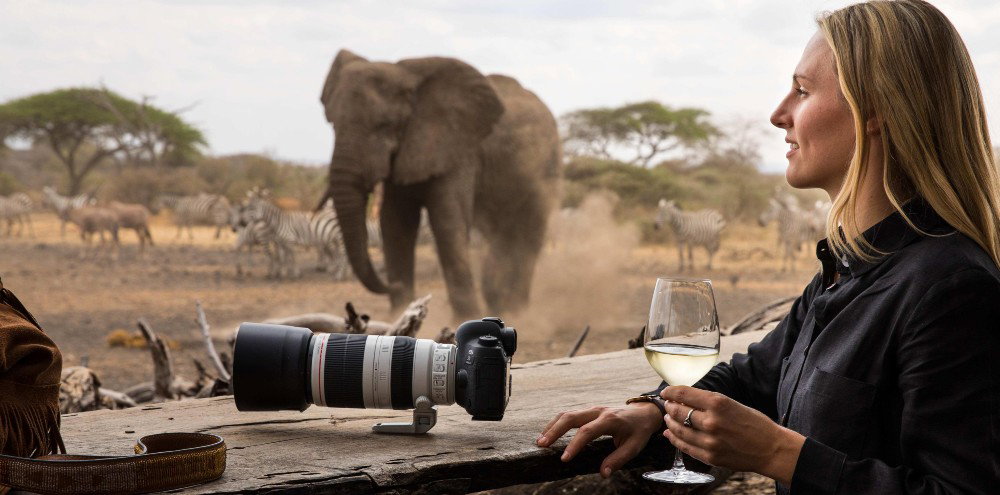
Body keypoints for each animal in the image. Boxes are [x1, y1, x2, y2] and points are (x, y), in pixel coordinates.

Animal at [317, 49, 562, 321]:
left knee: (530, 232)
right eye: (332, 124)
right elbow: (395, 224)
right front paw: (399, 317)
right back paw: (500, 305)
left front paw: (464, 319)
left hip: (547, 166)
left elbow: (447, 220)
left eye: (385, 126)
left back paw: (517, 311)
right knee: (500, 234)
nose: (392, 284)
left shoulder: (459, 148)